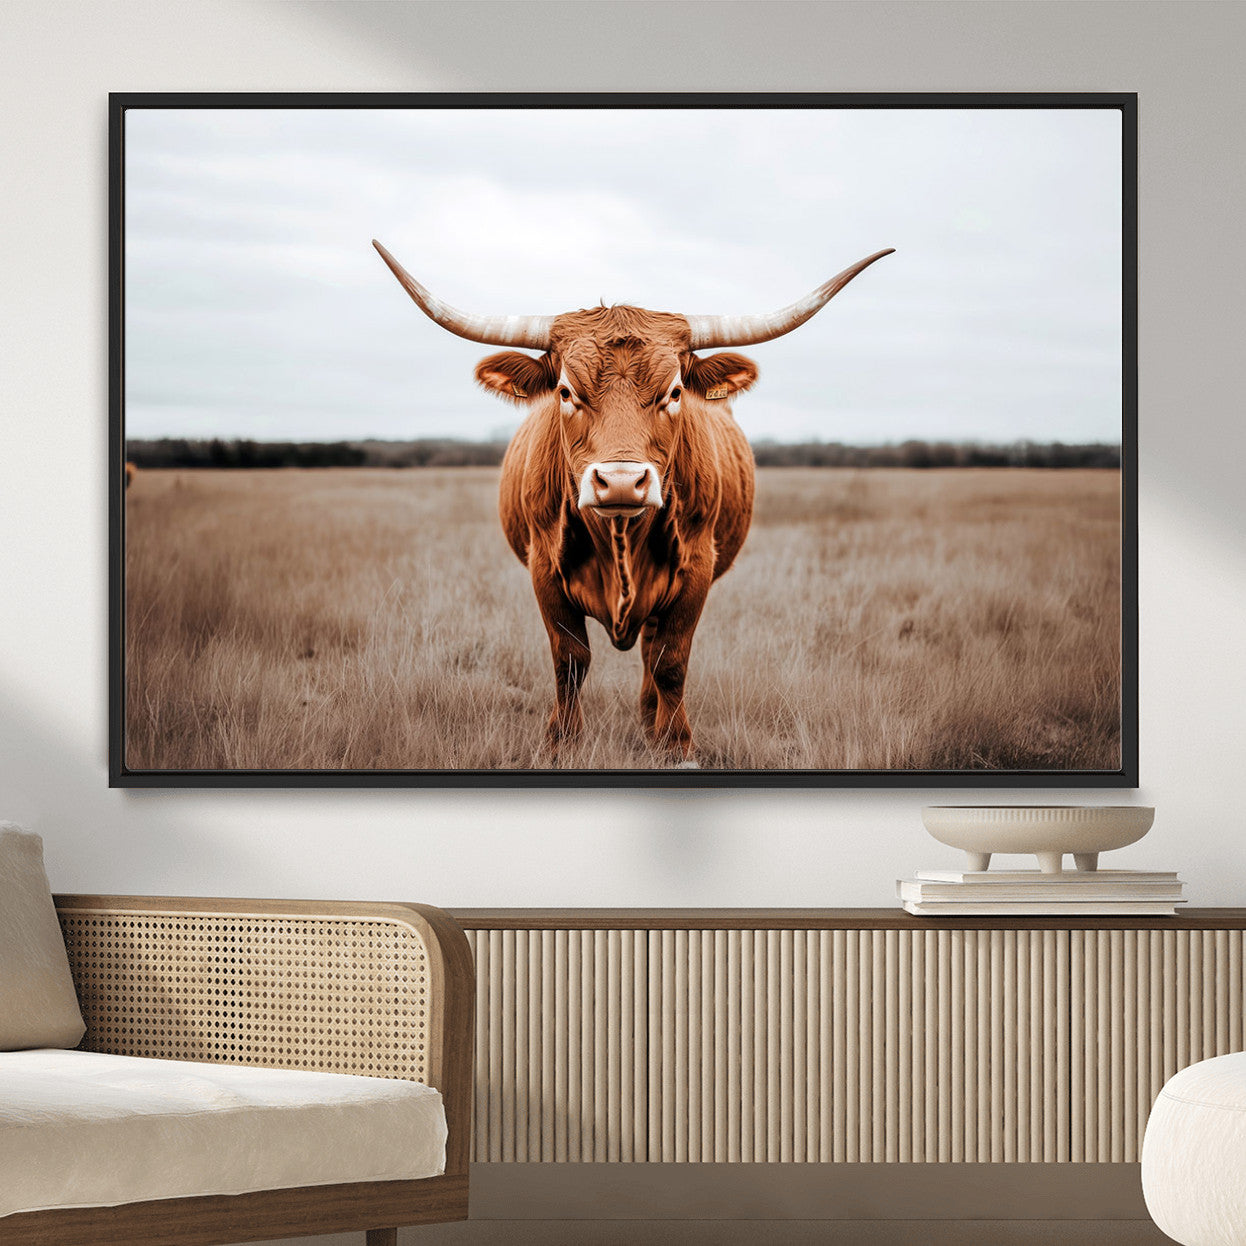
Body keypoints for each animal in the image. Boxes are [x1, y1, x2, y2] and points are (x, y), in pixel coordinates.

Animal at [374, 241, 893, 764]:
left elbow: (670, 661)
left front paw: (677, 746)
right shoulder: (544, 568)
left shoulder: (696, 569)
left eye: (675, 392)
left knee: (650, 651)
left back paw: (650, 722)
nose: (621, 483)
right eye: (566, 391)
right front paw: (561, 745)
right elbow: (570, 661)